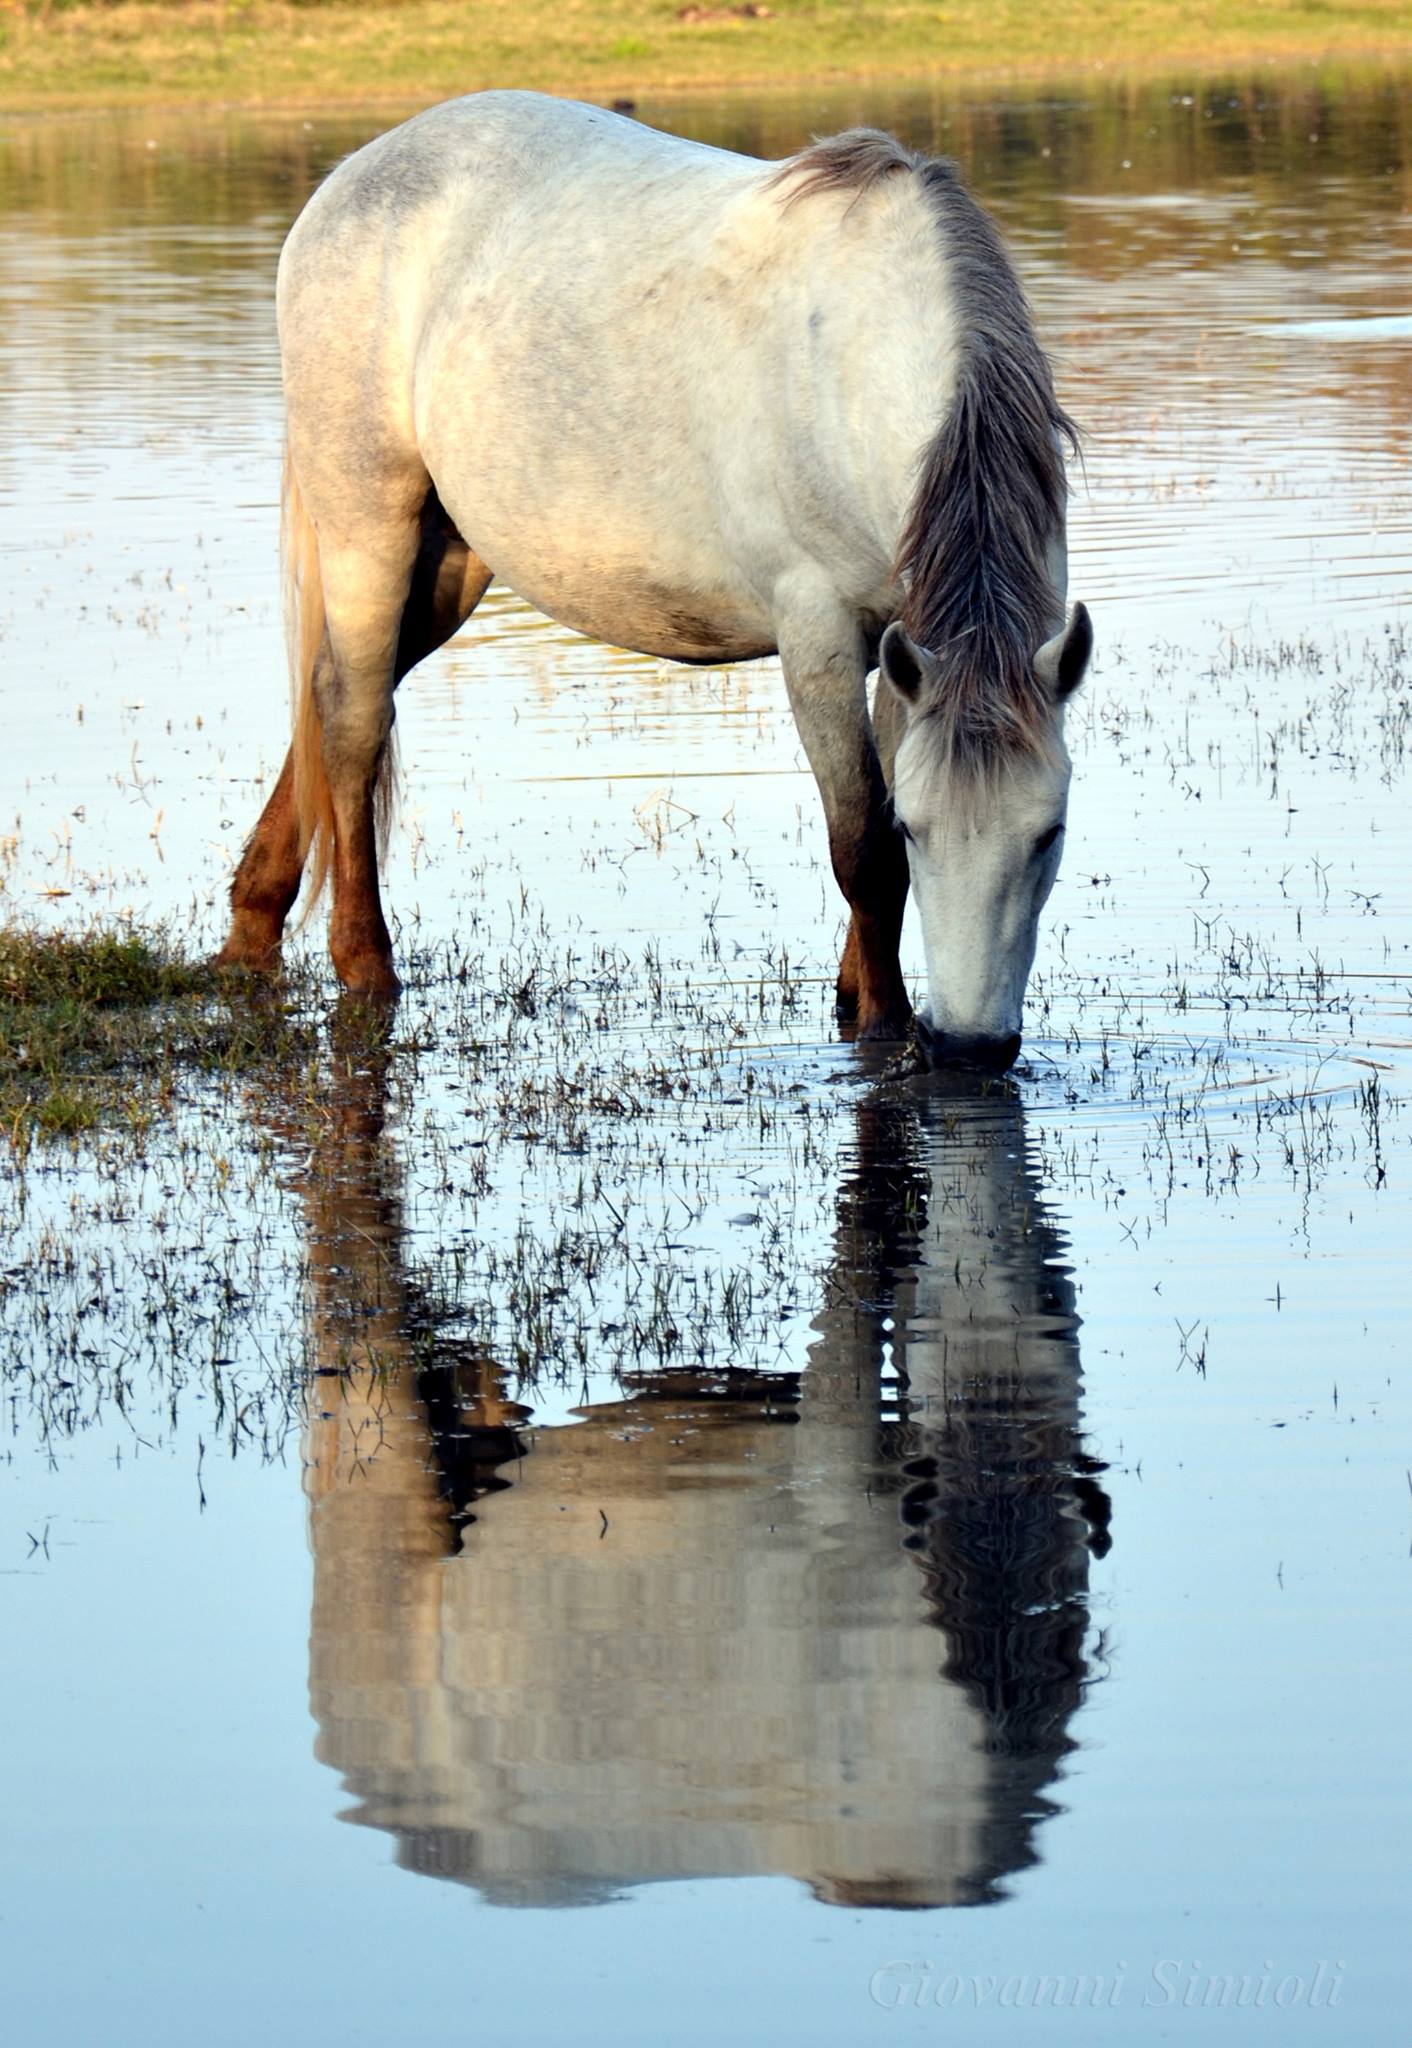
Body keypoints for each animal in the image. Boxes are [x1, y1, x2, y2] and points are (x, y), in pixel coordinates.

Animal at [215, 91, 1092, 1071]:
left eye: (1051, 831)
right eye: (921, 829)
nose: (971, 1051)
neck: (855, 360)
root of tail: (350, 183)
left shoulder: (908, 640)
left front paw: (855, 990)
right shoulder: (819, 637)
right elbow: (863, 851)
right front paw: (882, 1029)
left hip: (449, 567)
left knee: (331, 697)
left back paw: (252, 926)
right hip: (370, 527)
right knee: (354, 724)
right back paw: (364, 966)